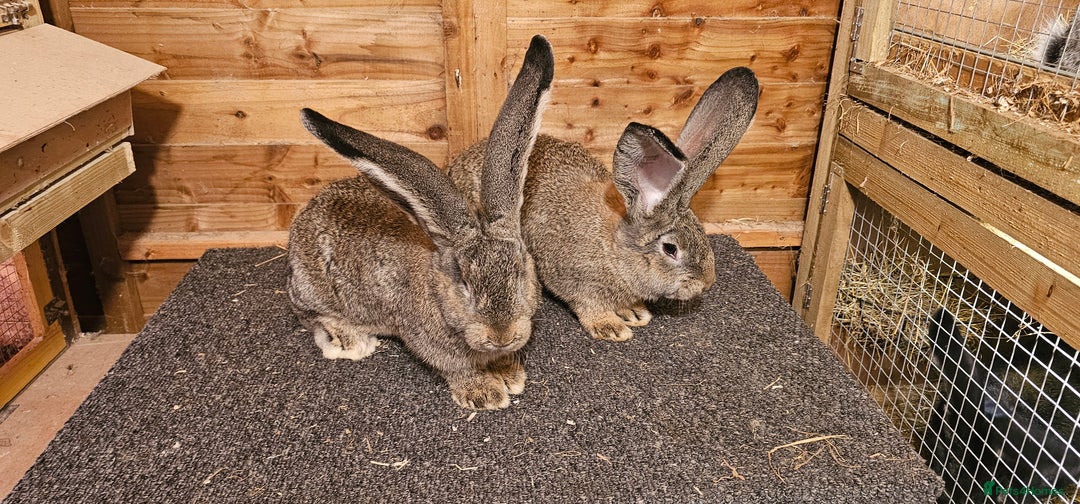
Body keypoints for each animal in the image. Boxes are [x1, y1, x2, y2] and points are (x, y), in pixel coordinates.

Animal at [286, 35, 554, 410]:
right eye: (464, 284)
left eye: (521, 273)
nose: (501, 335)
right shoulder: (428, 342)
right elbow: (456, 368)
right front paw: (484, 393)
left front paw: (509, 372)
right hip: (314, 292)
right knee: (311, 315)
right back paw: (354, 342)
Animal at [449, 66, 758, 342]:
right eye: (671, 249)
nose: (707, 282)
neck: (615, 249)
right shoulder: (578, 283)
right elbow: (588, 305)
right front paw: (610, 327)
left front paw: (633, 312)